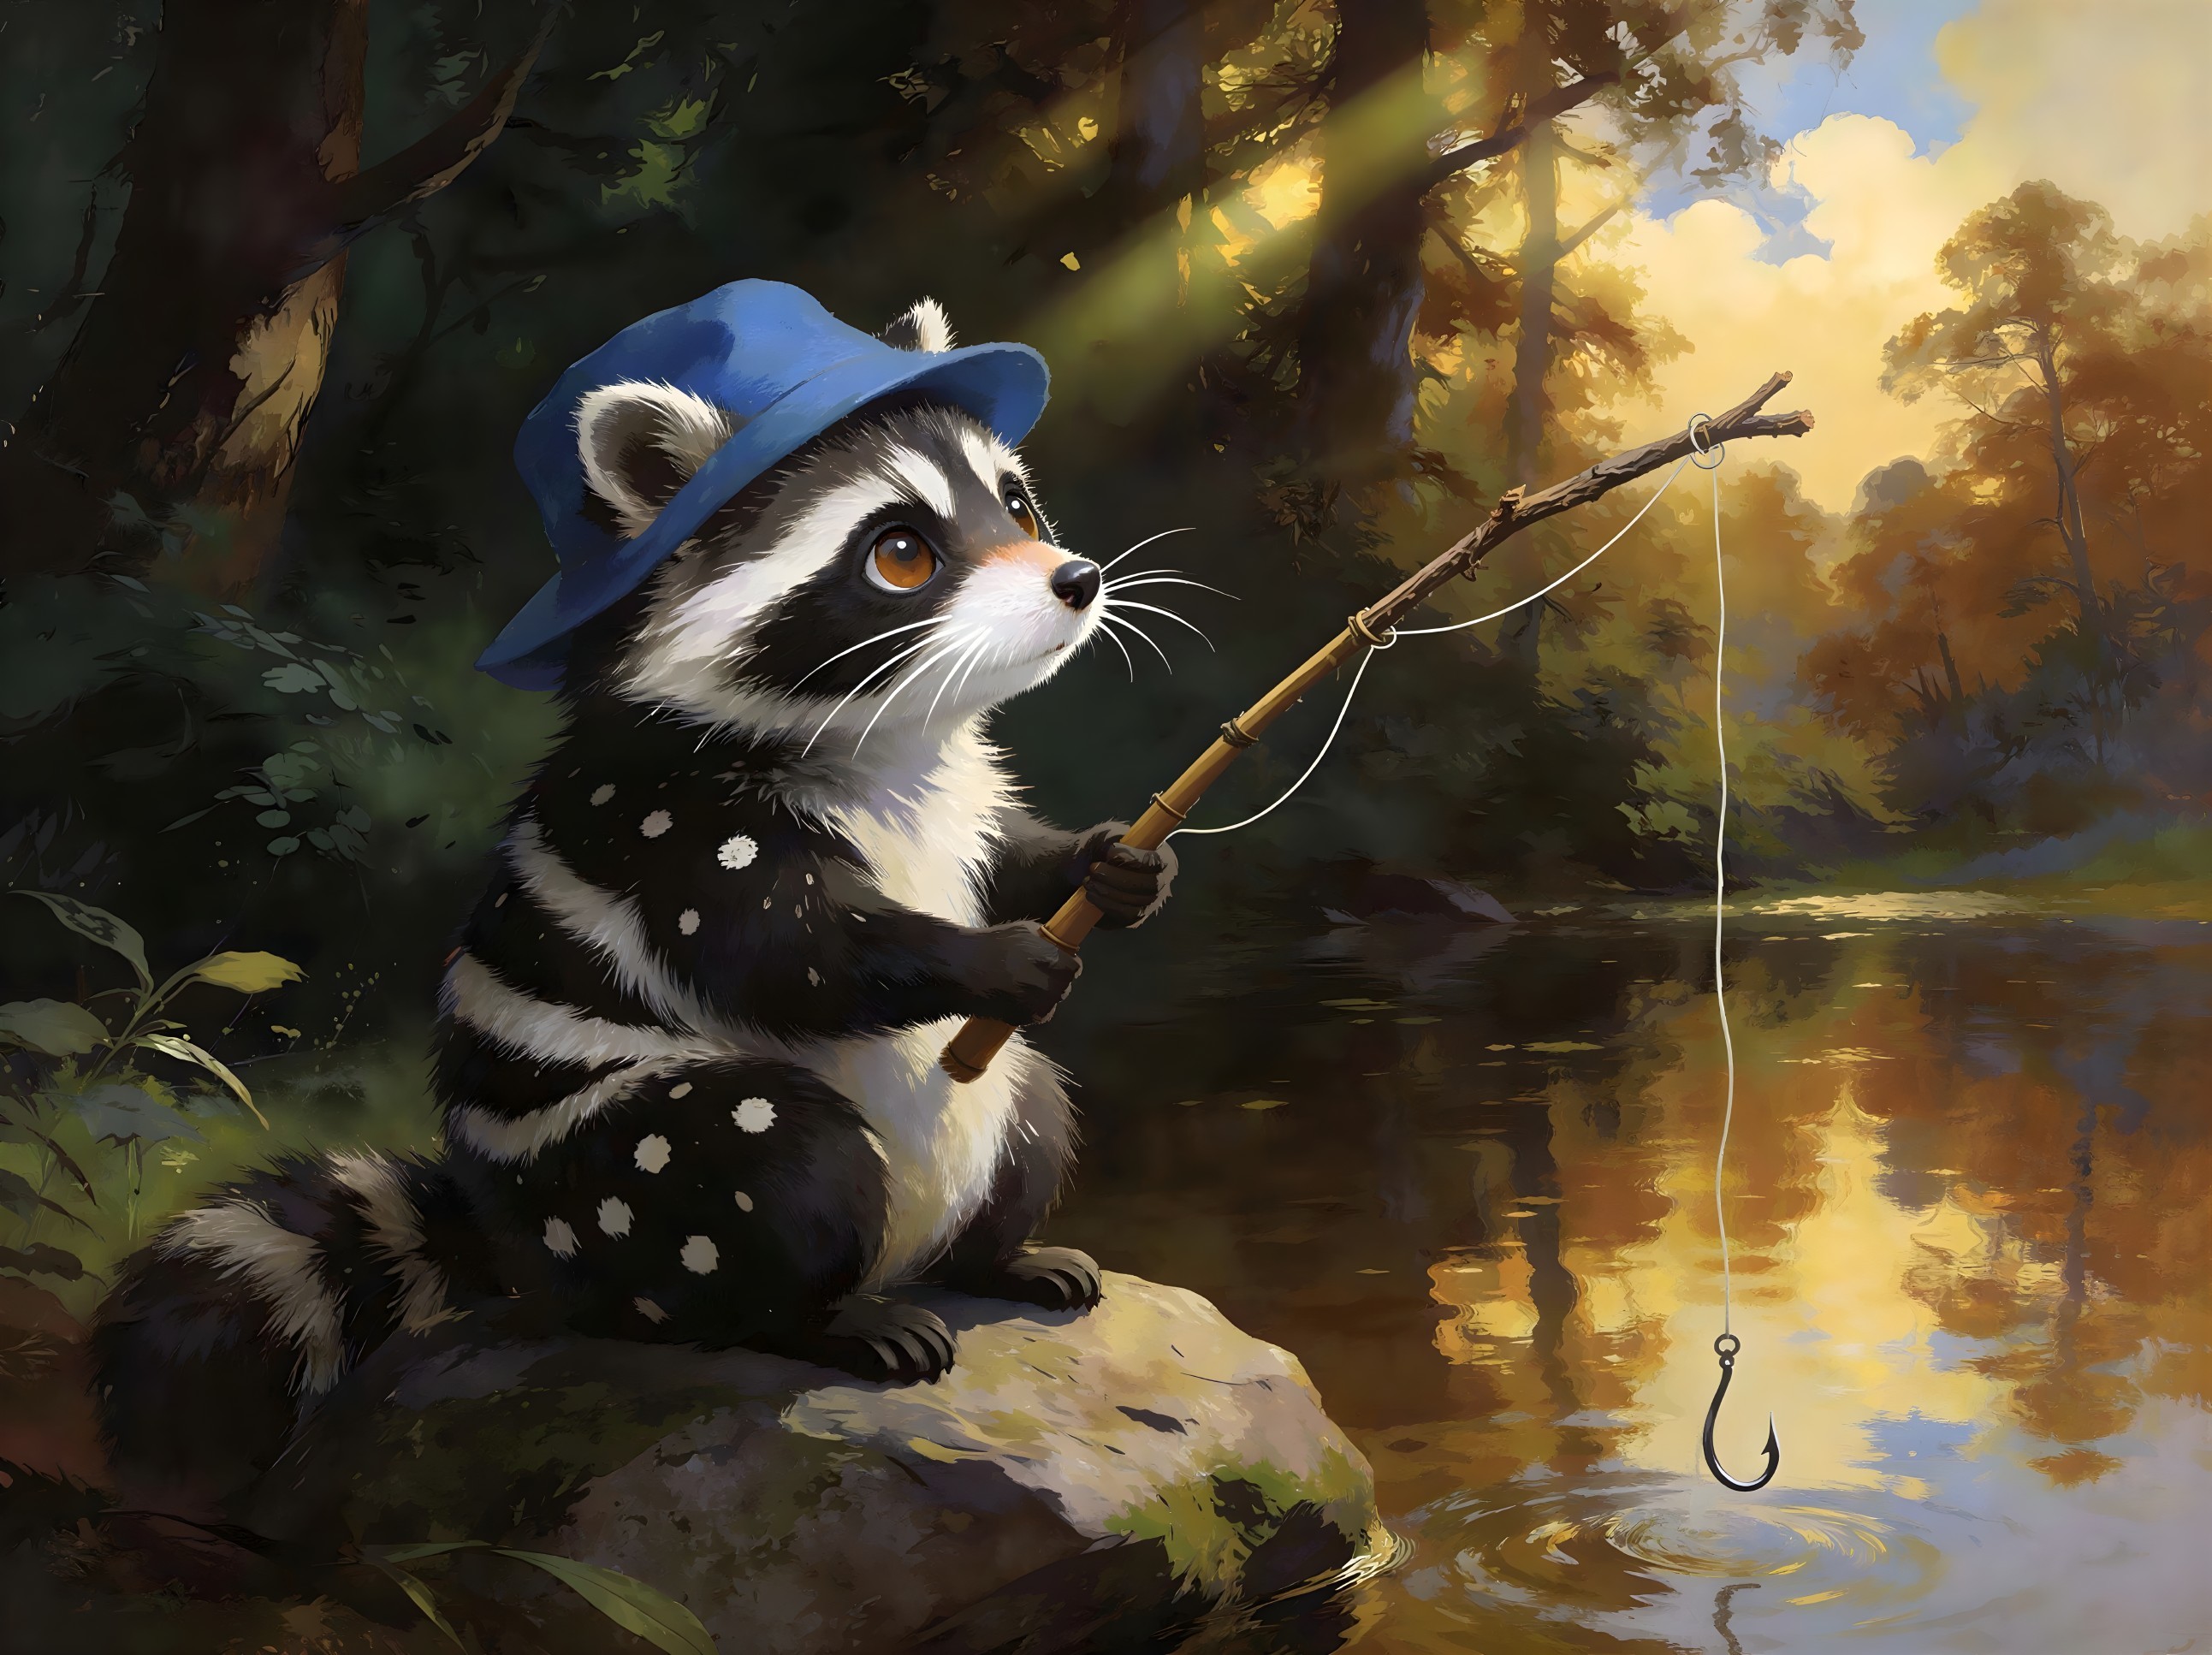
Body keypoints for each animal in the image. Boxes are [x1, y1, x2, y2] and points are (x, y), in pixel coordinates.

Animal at [91, 297, 1175, 1515]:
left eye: (1016, 504)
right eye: (901, 553)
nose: (1078, 579)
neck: (888, 734)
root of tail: (511, 1249)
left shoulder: (959, 804)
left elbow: (1002, 858)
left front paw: (1102, 863)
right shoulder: (672, 827)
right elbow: (784, 957)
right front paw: (981, 957)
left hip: (971, 1117)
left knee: (1031, 1104)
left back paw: (992, 1255)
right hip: (615, 1177)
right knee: (776, 1156)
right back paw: (816, 1317)